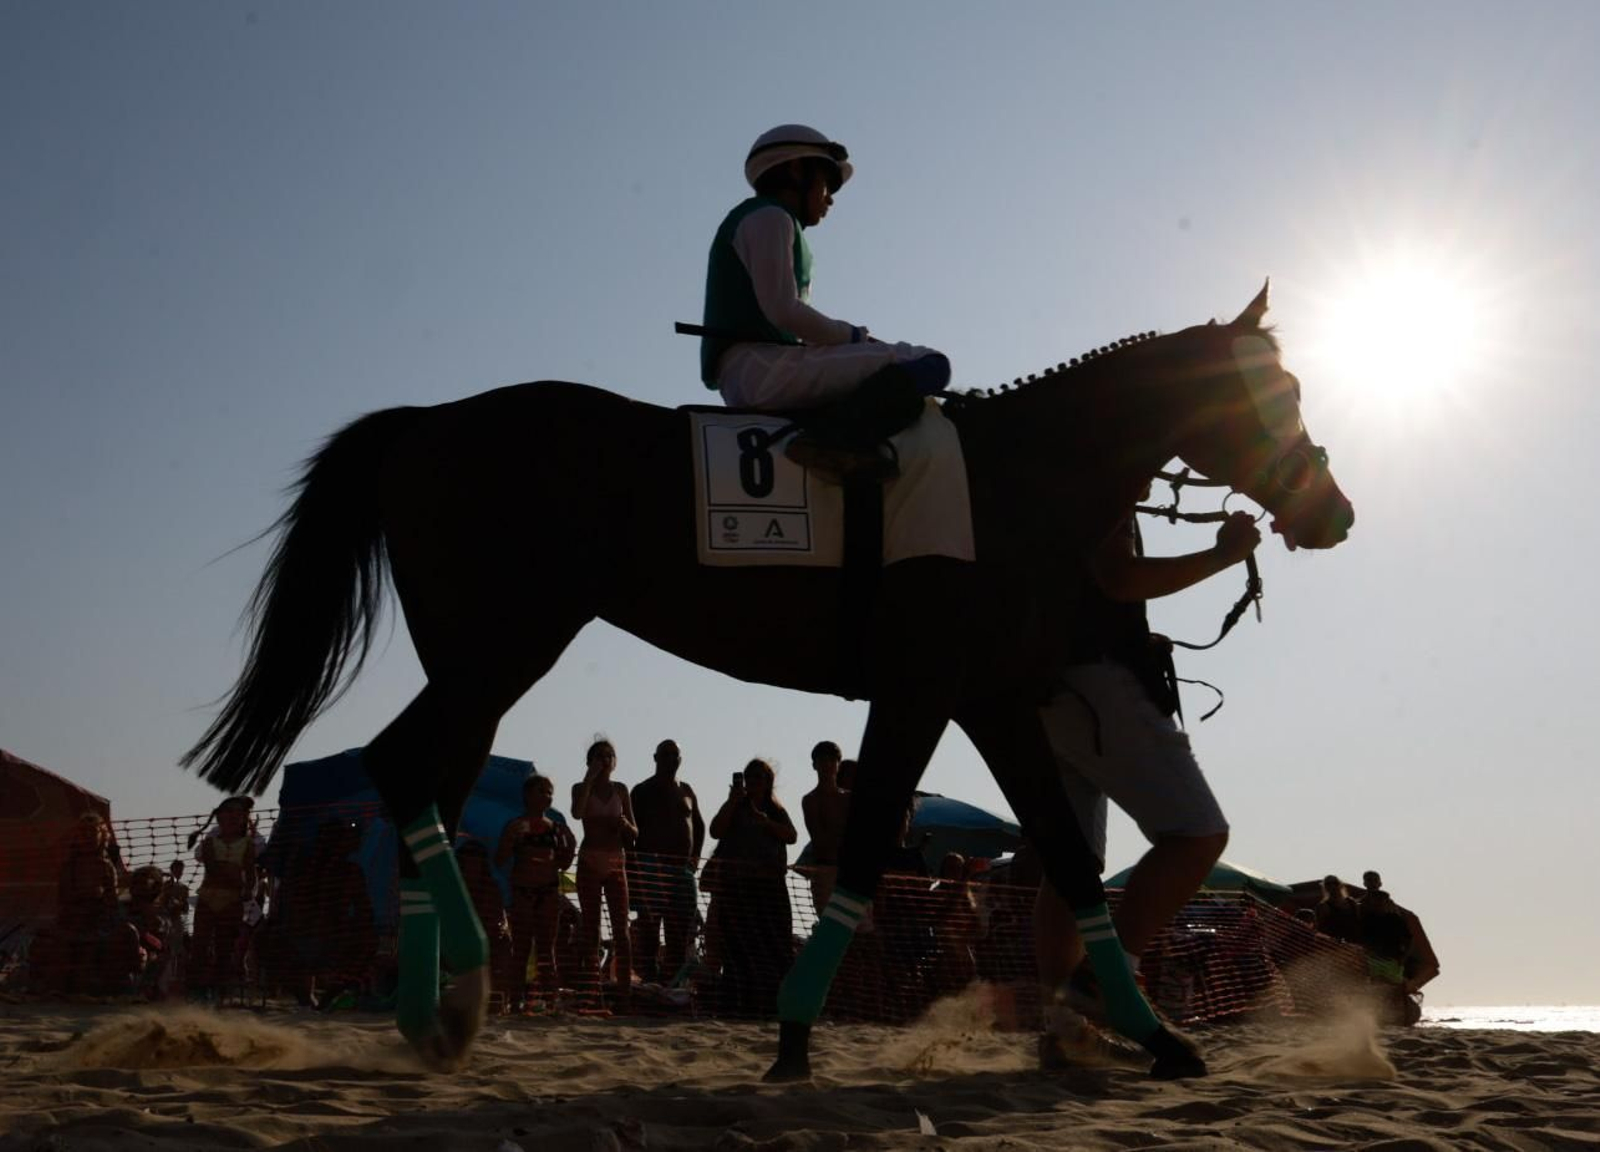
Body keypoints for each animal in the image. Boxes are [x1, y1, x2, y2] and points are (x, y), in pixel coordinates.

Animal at [183, 281, 1352, 1076]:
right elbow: (961, 850)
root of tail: (424, 423)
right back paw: (456, 1000)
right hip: (503, 645)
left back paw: (438, 1011)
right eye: (1271, 391)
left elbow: (1009, 856)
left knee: (422, 773)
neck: (1011, 480)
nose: (1329, 510)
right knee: (404, 765)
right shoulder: (948, 692)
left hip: (478, 659)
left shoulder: (964, 698)